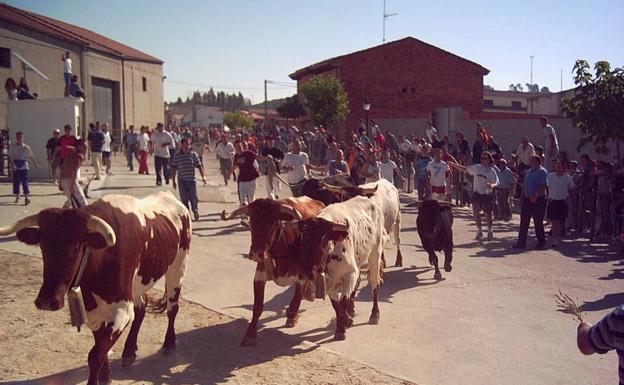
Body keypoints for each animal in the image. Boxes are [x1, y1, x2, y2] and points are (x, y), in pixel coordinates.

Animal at [0, 191, 190, 384]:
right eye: (42, 245)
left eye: (76, 246)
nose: (46, 301)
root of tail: (168, 195)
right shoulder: (93, 310)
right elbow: (100, 343)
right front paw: (105, 375)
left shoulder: (121, 310)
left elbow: (95, 354)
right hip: (137, 285)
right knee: (141, 309)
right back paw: (129, 351)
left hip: (178, 267)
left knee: (172, 308)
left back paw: (169, 343)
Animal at [221, 195, 326, 344]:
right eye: (251, 222)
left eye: (272, 223)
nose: (256, 253)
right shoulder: (260, 275)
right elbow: (258, 307)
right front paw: (250, 334)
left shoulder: (302, 274)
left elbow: (295, 301)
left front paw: (292, 317)